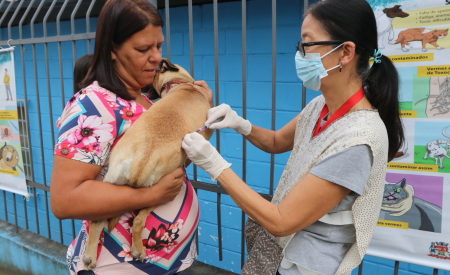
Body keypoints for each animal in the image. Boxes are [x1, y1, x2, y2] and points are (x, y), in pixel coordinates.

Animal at [82, 59, 213, 270]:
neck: (182, 83)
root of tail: (141, 161)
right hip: (161, 193)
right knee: (137, 222)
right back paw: (138, 250)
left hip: (111, 181)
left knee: (97, 222)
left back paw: (90, 256)